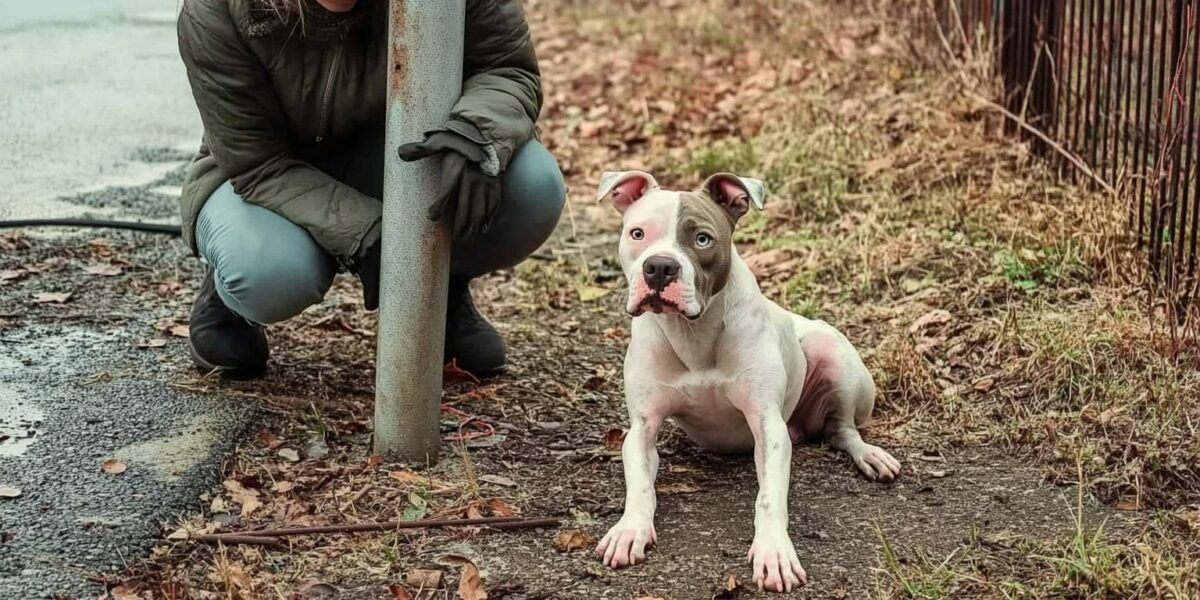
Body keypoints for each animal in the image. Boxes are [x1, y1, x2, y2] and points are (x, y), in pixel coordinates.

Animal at [590, 170, 902, 590]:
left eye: (702, 239)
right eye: (637, 233)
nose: (659, 267)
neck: (693, 332)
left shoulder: (768, 425)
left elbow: (769, 497)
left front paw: (774, 552)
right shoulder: (643, 427)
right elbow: (640, 483)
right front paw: (629, 530)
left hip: (833, 356)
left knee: (843, 430)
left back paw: (869, 455)